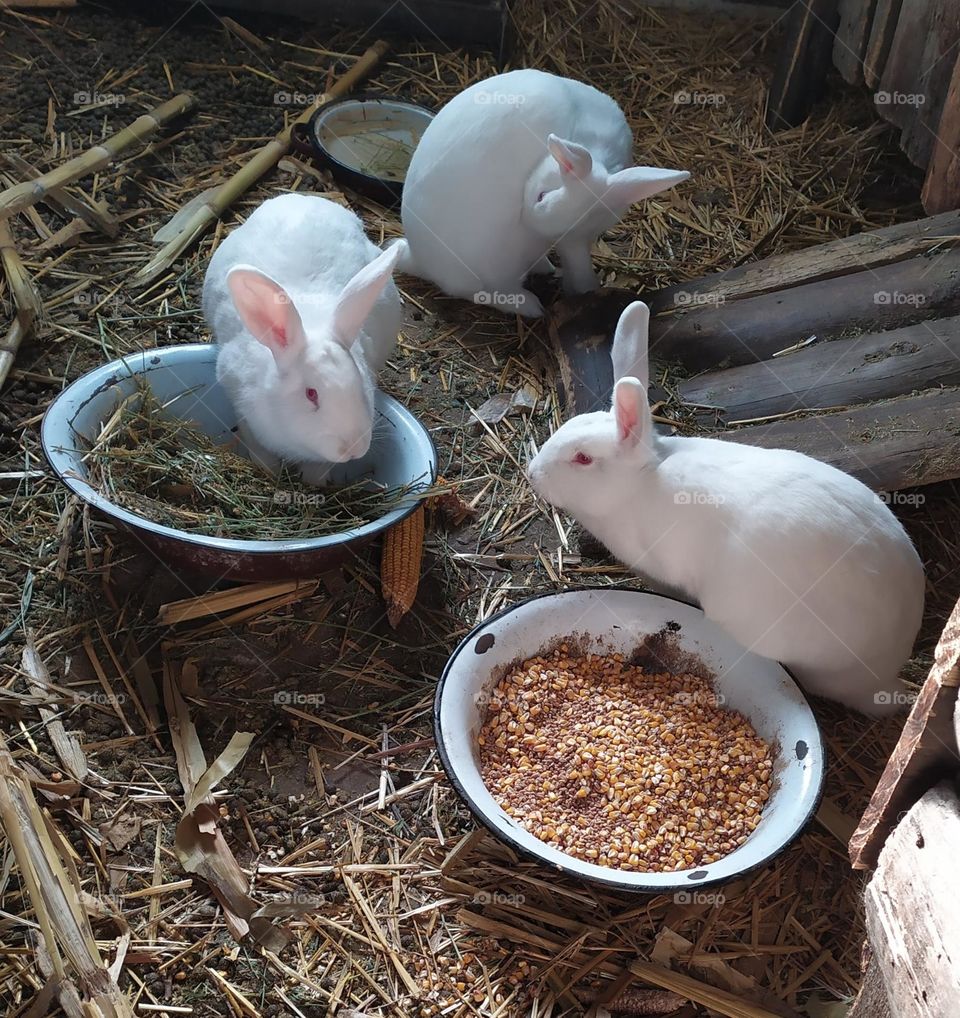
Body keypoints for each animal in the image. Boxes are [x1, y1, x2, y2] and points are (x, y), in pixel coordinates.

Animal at [202, 193, 402, 482]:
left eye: (361, 386)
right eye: (311, 394)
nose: (352, 448)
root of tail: (305, 197)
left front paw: (313, 481)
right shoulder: (242, 407)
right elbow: (257, 446)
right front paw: (269, 471)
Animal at [393, 68, 689, 318]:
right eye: (541, 196)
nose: (526, 218)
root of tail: (419, 259)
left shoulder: (574, 238)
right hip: (494, 266)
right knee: (483, 292)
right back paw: (531, 306)